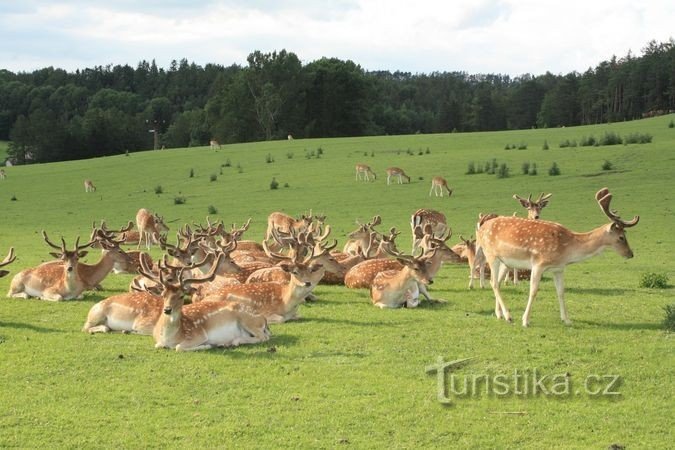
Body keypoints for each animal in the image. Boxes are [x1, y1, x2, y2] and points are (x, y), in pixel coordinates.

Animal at [478, 186, 640, 326]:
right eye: (621, 237)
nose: (630, 254)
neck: (567, 251)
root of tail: (481, 227)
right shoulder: (538, 263)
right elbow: (533, 290)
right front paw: (525, 321)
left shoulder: (559, 268)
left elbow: (561, 292)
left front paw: (567, 320)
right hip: (491, 254)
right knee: (493, 282)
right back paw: (509, 316)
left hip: (505, 262)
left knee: (498, 282)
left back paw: (499, 314)